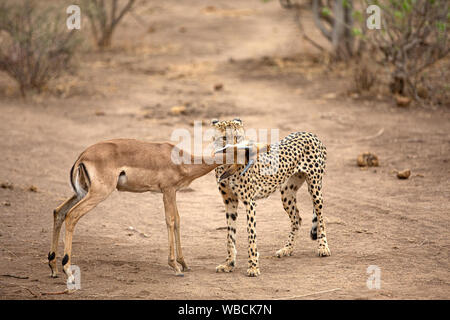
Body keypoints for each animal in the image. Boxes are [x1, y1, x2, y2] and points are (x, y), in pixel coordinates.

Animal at [211, 119, 330, 276]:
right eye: (224, 138)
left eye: (237, 137)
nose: (234, 150)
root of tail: (310, 133)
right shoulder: (229, 201)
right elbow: (230, 236)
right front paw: (229, 264)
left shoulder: (250, 202)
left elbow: (251, 235)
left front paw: (253, 267)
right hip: (287, 192)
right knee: (297, 219)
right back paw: (287, 249)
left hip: (315, 187)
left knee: (321, 217)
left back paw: (323, 247)